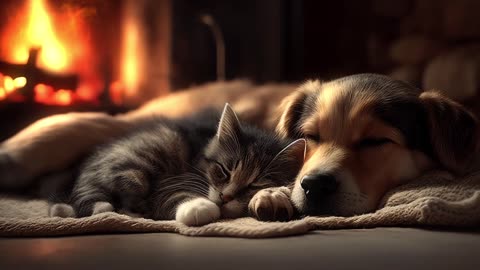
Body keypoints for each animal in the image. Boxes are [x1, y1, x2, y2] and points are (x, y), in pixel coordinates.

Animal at [60, 104, 306, 226]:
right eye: (223, 171)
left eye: (254, 184)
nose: (224, 197)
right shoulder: (170, 181)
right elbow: (174, 195)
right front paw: (199, 207)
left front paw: (273, 196)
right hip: (141, 162)